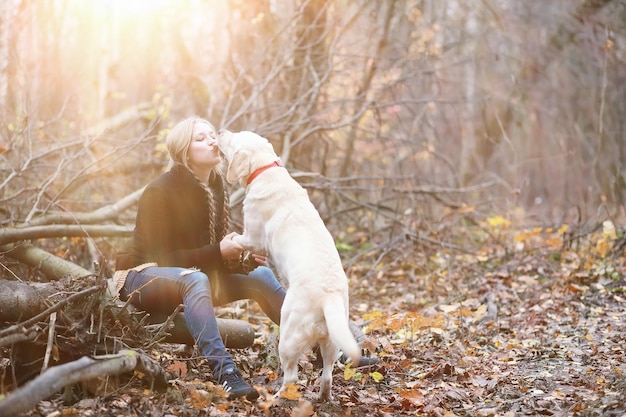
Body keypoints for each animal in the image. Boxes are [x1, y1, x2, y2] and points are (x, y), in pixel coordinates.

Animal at [216, 129, 358, 400]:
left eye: (234, 137)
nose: (220, 131)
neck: (265, 169)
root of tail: (328, 297)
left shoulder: (253, 237)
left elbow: (237, 239)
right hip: (332, 342)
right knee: (327, 374)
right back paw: (324, 397)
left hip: (289, 335)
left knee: (291, 376)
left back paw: (276, 398)